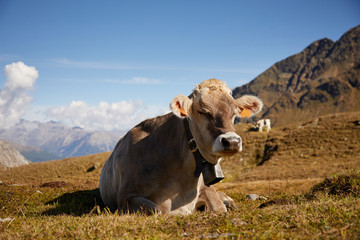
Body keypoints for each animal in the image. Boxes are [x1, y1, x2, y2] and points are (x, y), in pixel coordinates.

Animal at [98, 78, 262, 214]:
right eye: (202, 111)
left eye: (235, 113)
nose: (232, 141)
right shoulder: (125, 197)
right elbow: (156, 210)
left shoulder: (203, 188)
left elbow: (217, 205)